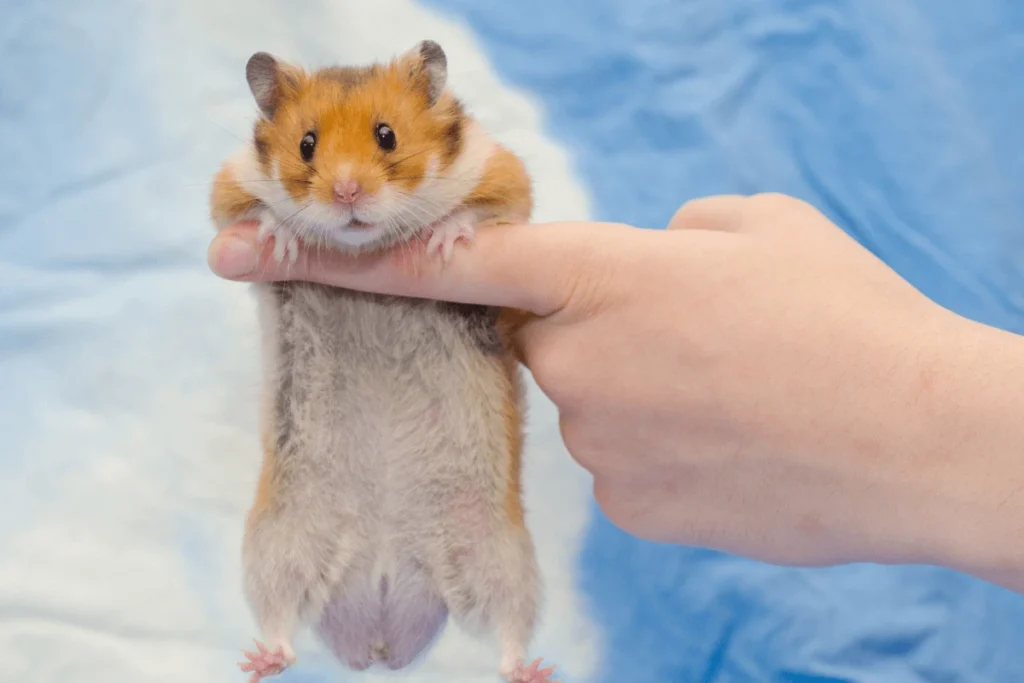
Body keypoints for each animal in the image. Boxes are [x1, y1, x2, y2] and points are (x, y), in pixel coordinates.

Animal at [209, 41, 561, 683]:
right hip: (278, 543)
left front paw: (443, 239)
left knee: (507, 630)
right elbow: (250, 213)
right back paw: (261, 659)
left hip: (501, 556)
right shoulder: (228, 184)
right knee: (281, 619)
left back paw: (530, 669)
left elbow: (484, 209)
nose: (347, 193)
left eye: (387, 135)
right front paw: (281, 240)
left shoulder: (501, 174)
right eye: (307, 144)